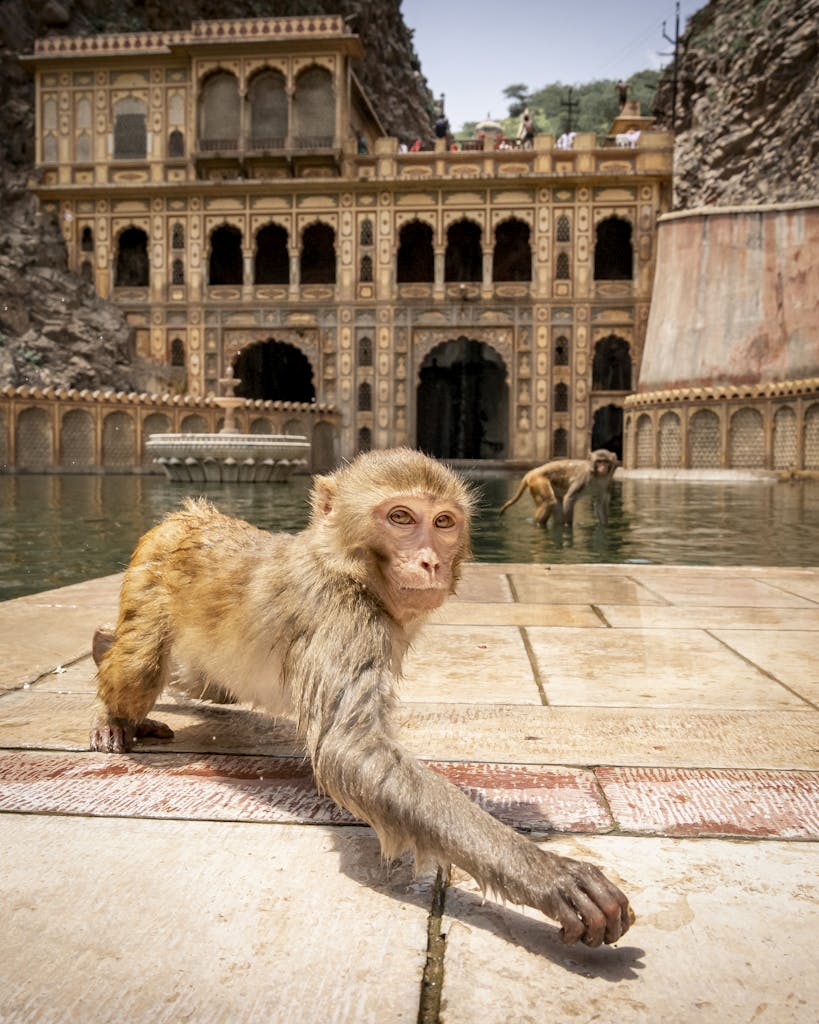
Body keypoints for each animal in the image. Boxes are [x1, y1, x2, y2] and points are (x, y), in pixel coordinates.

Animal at [89, 448, 630, 950]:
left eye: (443, 521)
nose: (431, 561)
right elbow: (350, 749)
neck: (348, 566)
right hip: (151, 574)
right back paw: (115, 711)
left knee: (205, 683)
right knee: (141, 668)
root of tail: (187, 515)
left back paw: (101, 645)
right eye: (400, 517)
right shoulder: (339, 612)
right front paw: (547, 875)